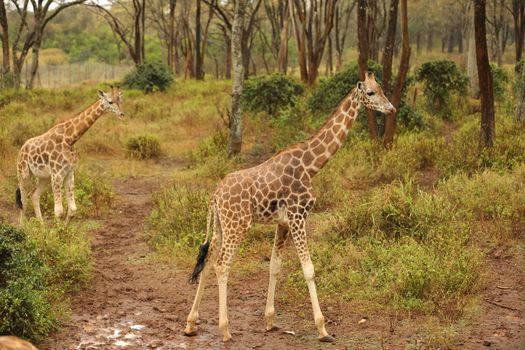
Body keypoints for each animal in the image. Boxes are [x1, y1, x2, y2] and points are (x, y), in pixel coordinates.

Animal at [15, 85, 124, 224]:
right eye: (110, 102)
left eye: (120, 101)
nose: (122, 114)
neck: (69, 139)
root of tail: (21, 149)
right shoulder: (57, 174)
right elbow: (59, 211)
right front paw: (57, 230)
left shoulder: (69, 173)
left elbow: (72, 210)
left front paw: (63, 229)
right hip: (23, 174)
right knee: (23, 201)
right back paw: (22, 226)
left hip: (45, 177)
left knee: (34, 195)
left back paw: (41, 225)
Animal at [182, 71, 396, 342]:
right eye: (370, 93)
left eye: (382, 89)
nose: (391, 108)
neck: (309, 165)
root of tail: (215, 196)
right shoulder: (298, 216)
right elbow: (309, 269)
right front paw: (322, 329)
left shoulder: (282, 223)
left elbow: (275, 266)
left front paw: (270, 321)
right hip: (237, 226)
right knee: (222, 265)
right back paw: (225, 330)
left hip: (221, 226)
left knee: (208, 262)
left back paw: (190, 324)